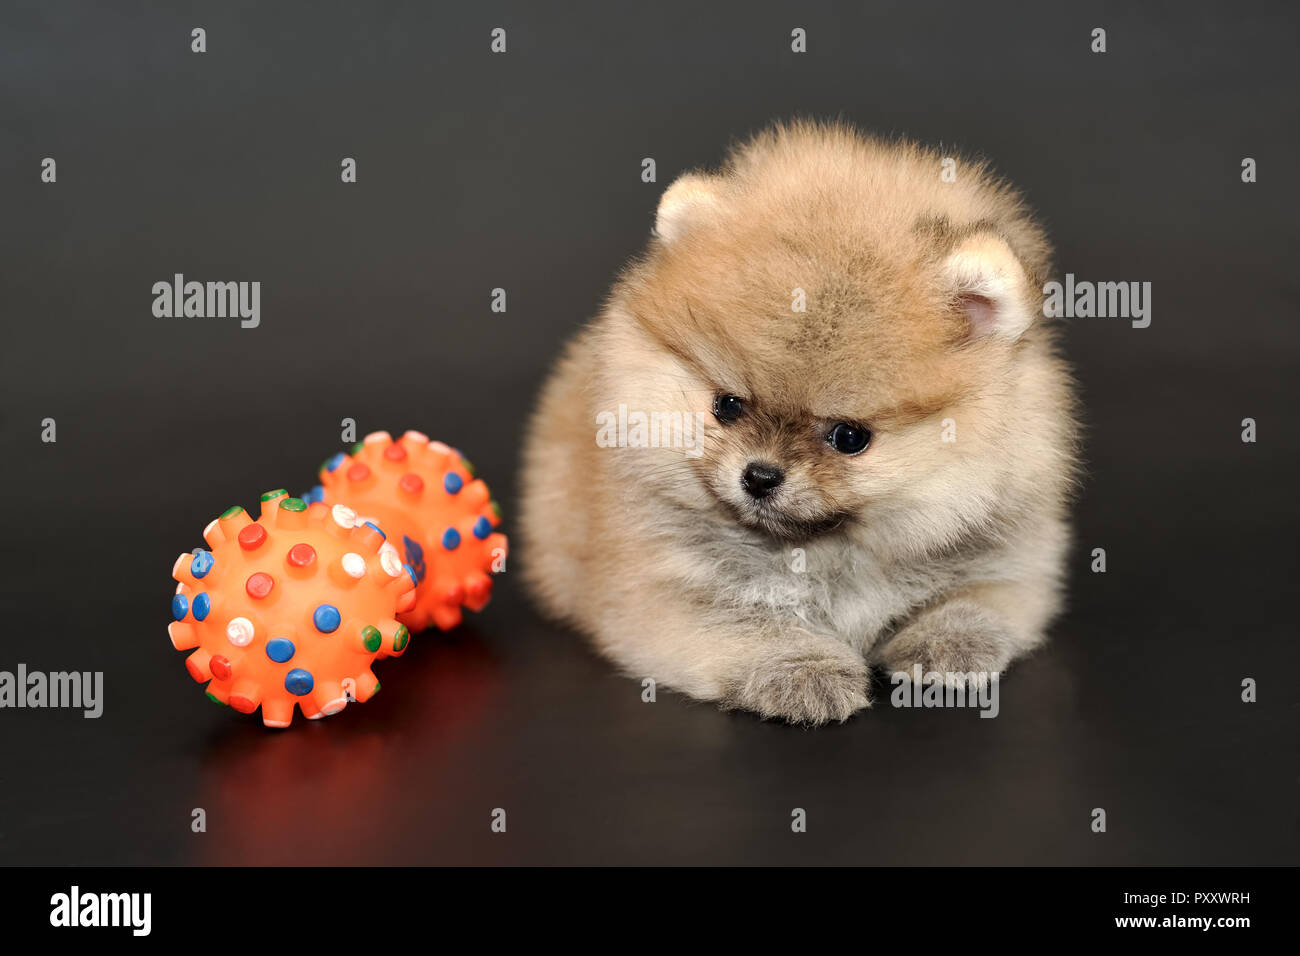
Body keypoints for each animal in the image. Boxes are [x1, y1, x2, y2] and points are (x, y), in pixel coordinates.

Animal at [514, 123, 1076, 728]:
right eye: (728, 406)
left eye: (850, 438)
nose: (759, 477)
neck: (825, 549)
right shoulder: (662, 590)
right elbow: (748, 626)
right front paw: (802, 668)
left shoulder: (1013, 557)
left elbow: (977, 598)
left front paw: (948, 640)